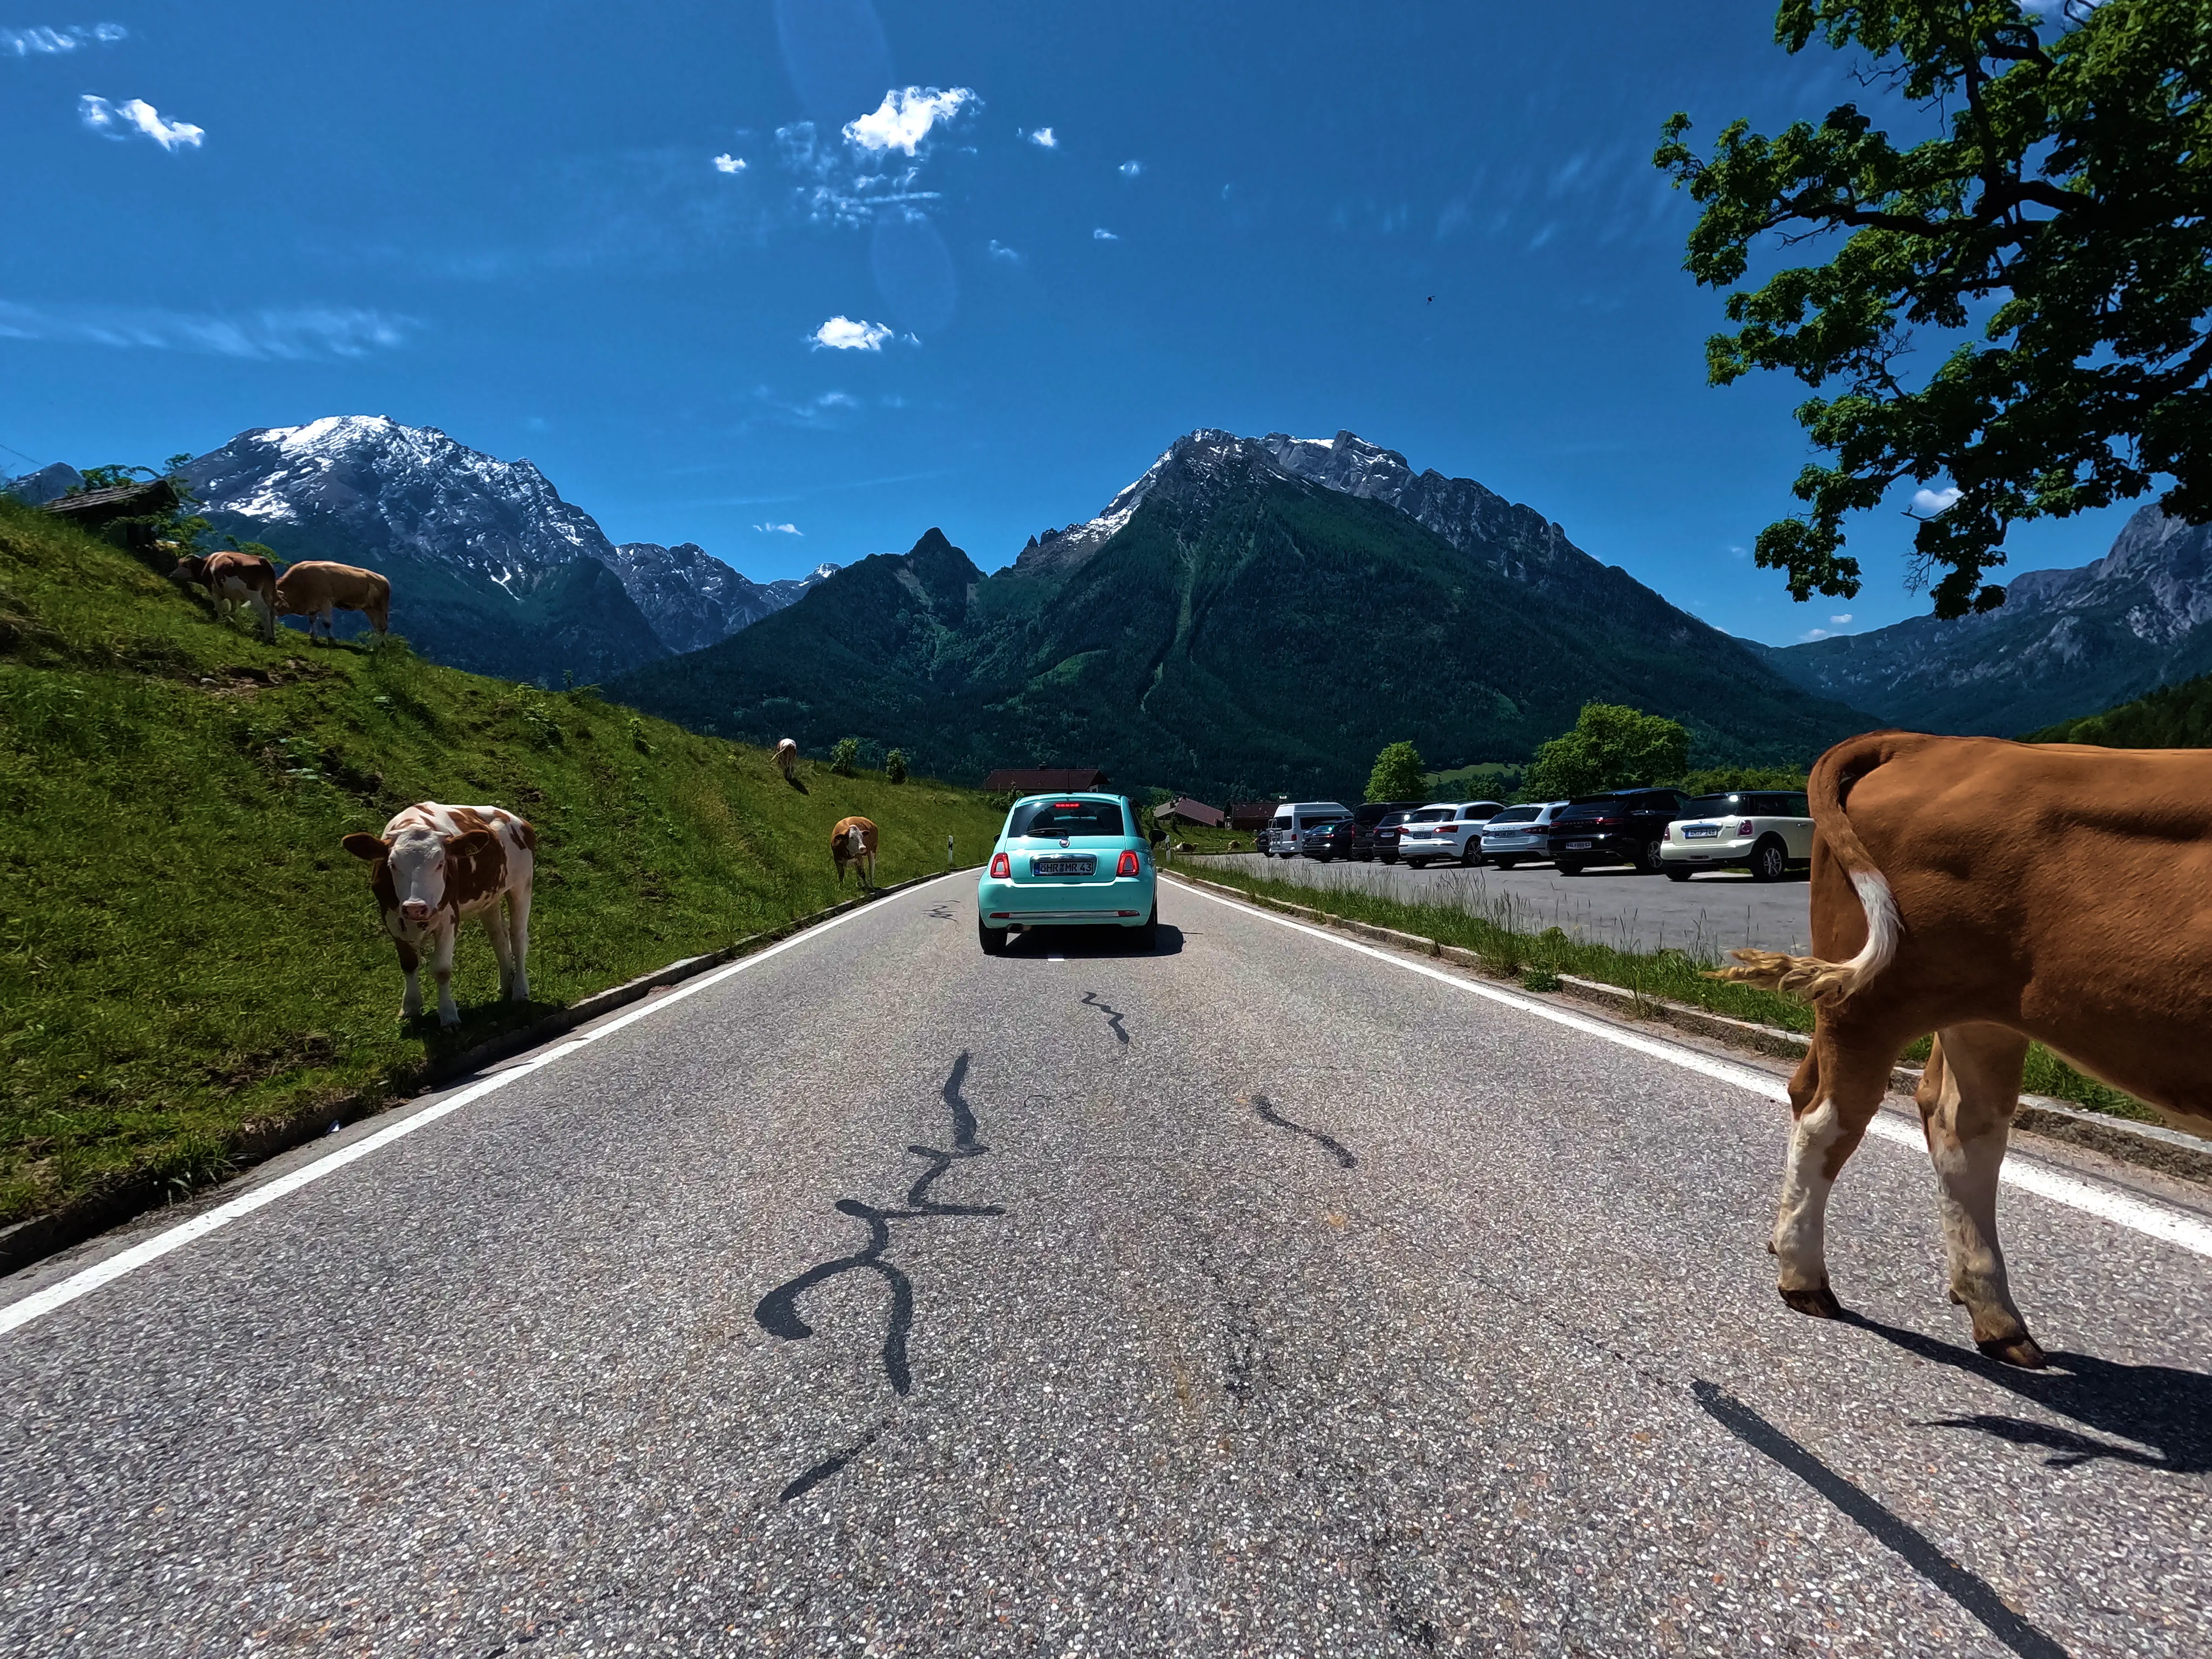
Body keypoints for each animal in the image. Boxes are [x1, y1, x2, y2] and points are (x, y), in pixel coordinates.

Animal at [170, 550, 277, 642]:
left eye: (183, 564)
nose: (171, 575)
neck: (207, 565)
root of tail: (263, 560)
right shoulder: (231, 594)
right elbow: (233, 607)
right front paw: (230, 618)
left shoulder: (213, 590)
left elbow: (218, 606)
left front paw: (219, 620)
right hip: (268, 593)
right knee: (272, 612)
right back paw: (272, 637)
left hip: (254, 594)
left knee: (264, 611)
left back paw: (268, 637)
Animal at [276, 560, 391, 643]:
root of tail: (384, 579)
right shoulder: (312, 606)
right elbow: (312, 620)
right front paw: (313, 636)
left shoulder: (326, 602)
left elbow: (327, 623)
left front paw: (331, 639)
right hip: (369, 608)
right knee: (378, 627)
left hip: (380, 607)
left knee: (383, 627)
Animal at [342, 803, 536, 1028]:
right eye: (392, 864)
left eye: (441, 864)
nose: (415, 907)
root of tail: (513, 817)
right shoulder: (391, 918)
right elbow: (408, 963)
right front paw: (410, 1007)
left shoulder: (449, 918)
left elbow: (442, 970)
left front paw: (449, 1015)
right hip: (489, 898)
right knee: (499, 937)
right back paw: (507, 985)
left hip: (522, 885)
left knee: (518, 937)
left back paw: (520, 990)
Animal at [832, 815, 878, 889]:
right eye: (851, 838)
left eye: (862, 836)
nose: (863, 848)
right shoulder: (836, 859)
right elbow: (841, 874)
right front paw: (840, 887)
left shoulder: (859, 858)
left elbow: (862, 873)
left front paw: (867, 887)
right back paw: (859, 884)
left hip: (872, 852)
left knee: (871, 870)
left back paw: (872, 885)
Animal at [1718, 730, 2212, 1369]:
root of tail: (1922, 743)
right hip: (1870, 1003)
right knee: (1830, 1120)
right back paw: (1805, 1278)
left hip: (1977, 1015)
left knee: (1959, 1128)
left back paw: (1995, 1317)